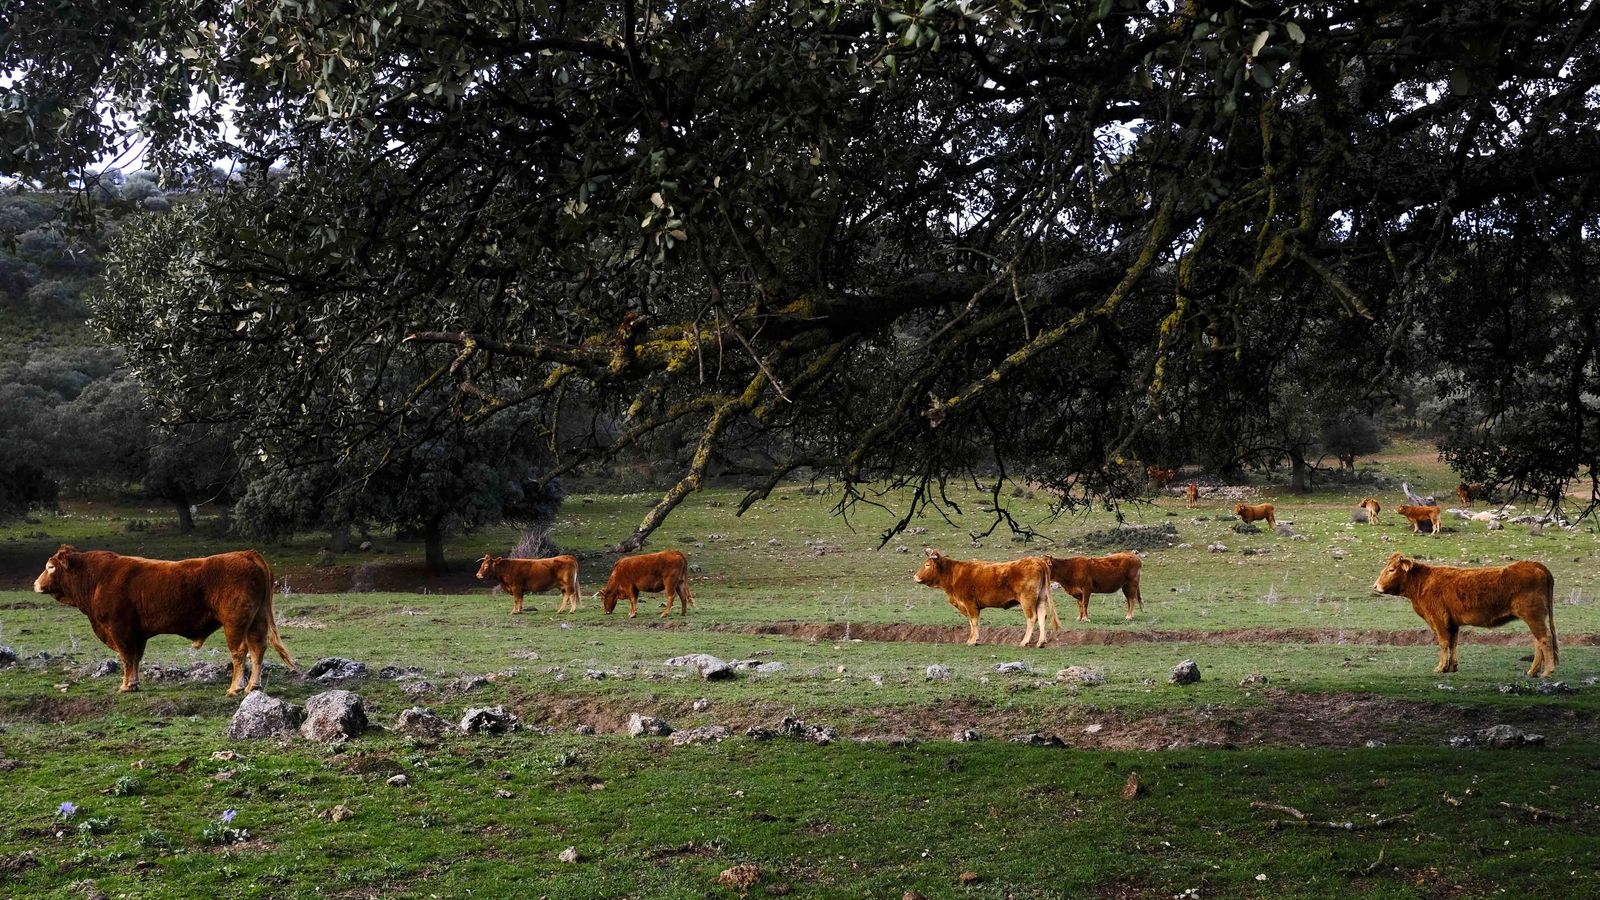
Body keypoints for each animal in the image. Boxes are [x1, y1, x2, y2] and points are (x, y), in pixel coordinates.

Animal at [32, 545, 296, 695]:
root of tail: (246, 554)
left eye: (50, 567)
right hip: (256, 620)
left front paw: (125, 685)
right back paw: (253, 686)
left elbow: (126, 657)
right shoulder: (136, 633)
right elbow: (135, 658)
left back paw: (235, 687)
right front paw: (134, 683)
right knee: (258, 649)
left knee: (240, 652)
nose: (35, 584)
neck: (98, 578)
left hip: (235, 622)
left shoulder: (120, 629)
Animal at [912, 551, 1056, 647]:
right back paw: (1040, 642)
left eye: (927, 565)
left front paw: (973, 640)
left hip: (1027, 600)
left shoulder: (970, 604)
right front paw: (970, 639)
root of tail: (1036, 560)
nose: (915, 577)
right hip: (1041, 598)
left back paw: (1024, 642)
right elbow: (971, 623)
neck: (953, 575)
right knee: (1042, 617)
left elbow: (974, 622)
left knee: (1032, 618)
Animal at [1372, 553, 1557, 677]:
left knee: (1544, 638)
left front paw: (1440, 667)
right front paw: (1451, 667)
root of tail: (1532, 564)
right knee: (1538, 641)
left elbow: (1444, 643)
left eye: (1391, 569)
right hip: (1534, 618)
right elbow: (1453, 643)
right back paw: (1532, 671)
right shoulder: (1452, 623)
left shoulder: (1439, 620)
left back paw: (1547, 671)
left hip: (1533, 616)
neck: (1422, 583)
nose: (1375, 586)